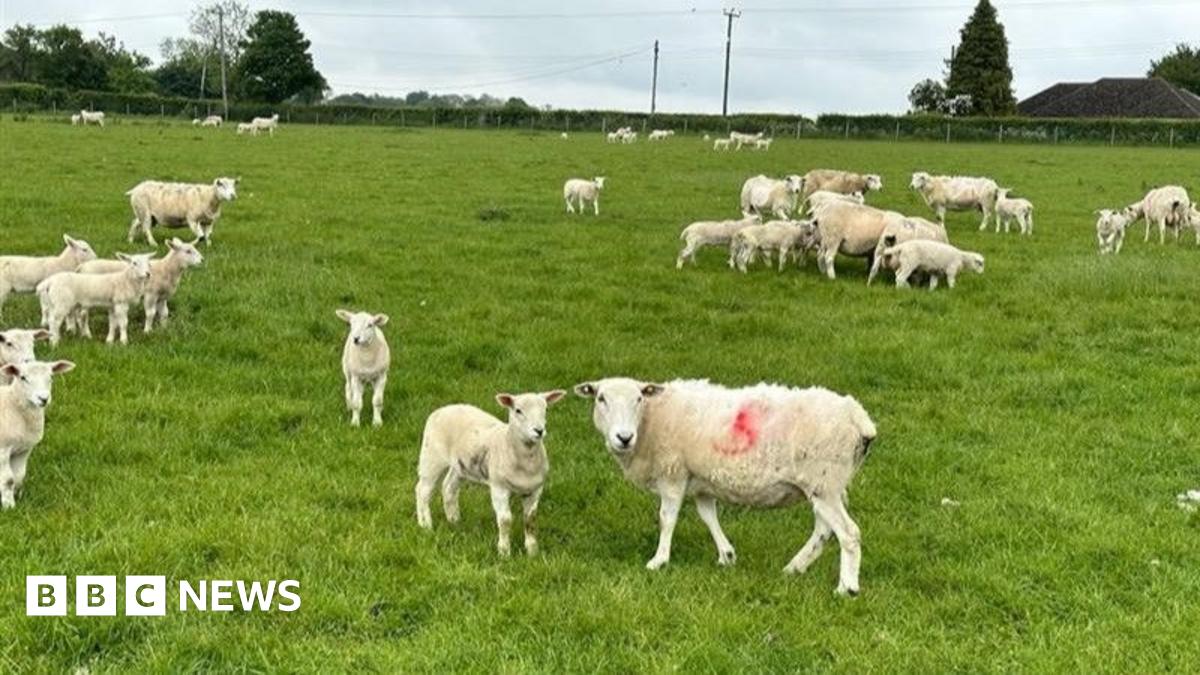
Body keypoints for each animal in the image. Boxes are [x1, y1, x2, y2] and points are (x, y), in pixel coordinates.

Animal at [0, 360, 75, 510]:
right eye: (23, 378)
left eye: (51, 377)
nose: (43, 399)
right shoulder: (3, 449)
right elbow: (8, 479)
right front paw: (9, 506)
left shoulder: (24, 449)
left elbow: (19, 476)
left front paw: (16, 496)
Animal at [416, 390, 567, 557]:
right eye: (518, 410)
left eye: (545, 409)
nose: (539, 431)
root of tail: (443, 409)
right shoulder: (499, 487)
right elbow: (505, 520)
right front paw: (504, 552)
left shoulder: (535, 489)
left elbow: (530, 519)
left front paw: (532, 551)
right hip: (431, 457)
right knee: (422, 491)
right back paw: (425, 525)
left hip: (460, 465)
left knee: (449, 487)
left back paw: (454, 520)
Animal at [574, 378, 876, 596]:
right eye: (601, 398)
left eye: (639, 399)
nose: (623, 437)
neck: (650, 421)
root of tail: (858, 417)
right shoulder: (700, 482)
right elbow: (709, 516)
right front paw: (726, 556)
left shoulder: (673, 473)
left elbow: (667, 519)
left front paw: (658, 561)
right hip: (827, 485)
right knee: (824, 530)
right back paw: (795, 567)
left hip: (824, 481)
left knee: (849, 533)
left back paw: (846, 588)